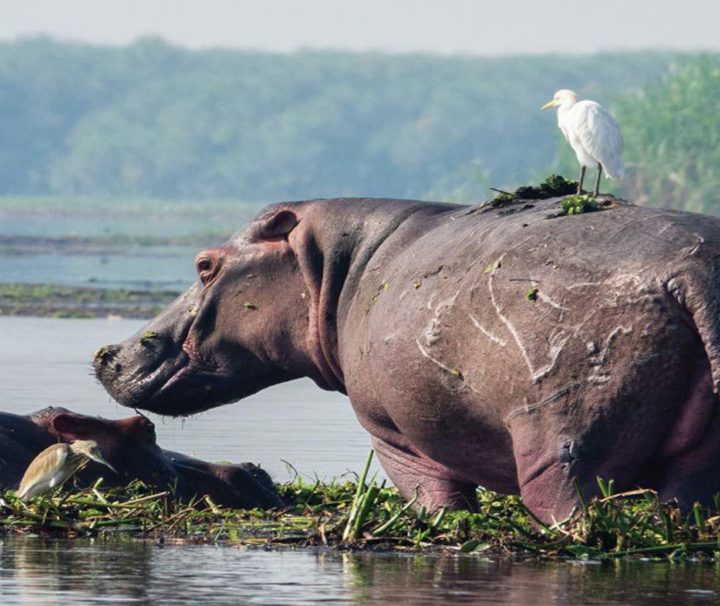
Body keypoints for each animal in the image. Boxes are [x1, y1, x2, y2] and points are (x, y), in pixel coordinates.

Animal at [95, 195, 720, 524]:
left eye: (205, 264)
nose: (108, 355)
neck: (331, 266)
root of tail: (694, 272)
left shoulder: (392, 434)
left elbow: (435, 501)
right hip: (696, 462)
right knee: (684, 504)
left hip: (563, 445)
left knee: (570, 503)